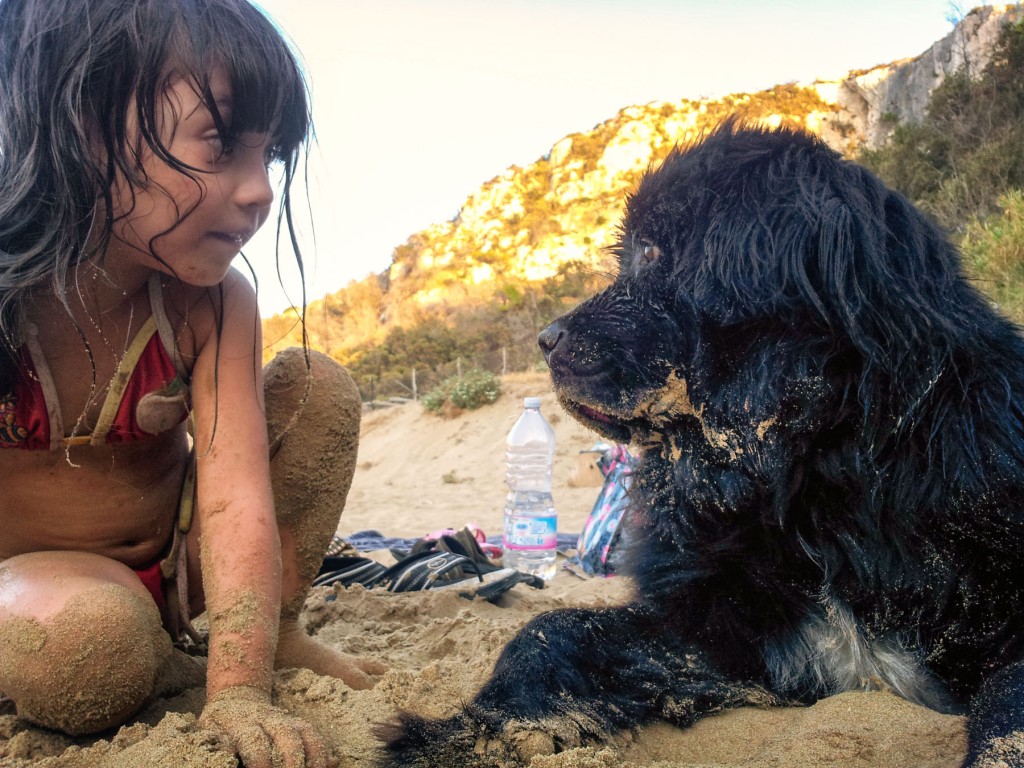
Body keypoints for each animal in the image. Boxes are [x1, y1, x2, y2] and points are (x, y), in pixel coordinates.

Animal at [380, 123, 1024, 765]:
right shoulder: (714, 631)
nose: (545, 339)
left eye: (650, 252)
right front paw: (479, 732)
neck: (802, 466)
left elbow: (1007, 705)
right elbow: (547, 630)